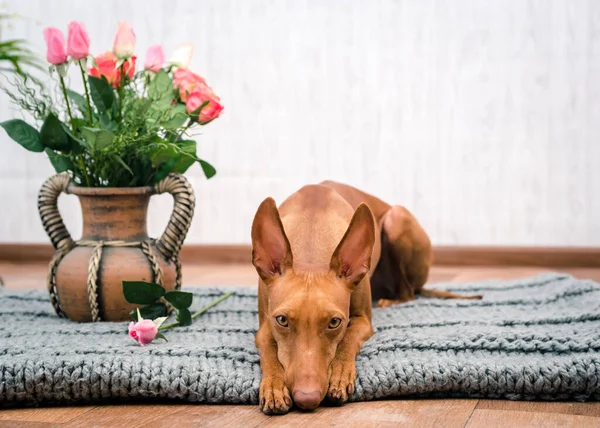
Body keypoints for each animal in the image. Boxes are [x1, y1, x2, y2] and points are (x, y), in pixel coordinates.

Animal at [251, 181, 480, 414]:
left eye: (334, 322)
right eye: (282, 320)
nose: (307, 398)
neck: (311, 242)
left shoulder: (363, 321)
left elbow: (349, 337)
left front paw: (340, 374)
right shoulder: (265, 325)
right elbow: (269, 349)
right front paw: (274, 386)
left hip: (396, 219)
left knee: (408, 292)